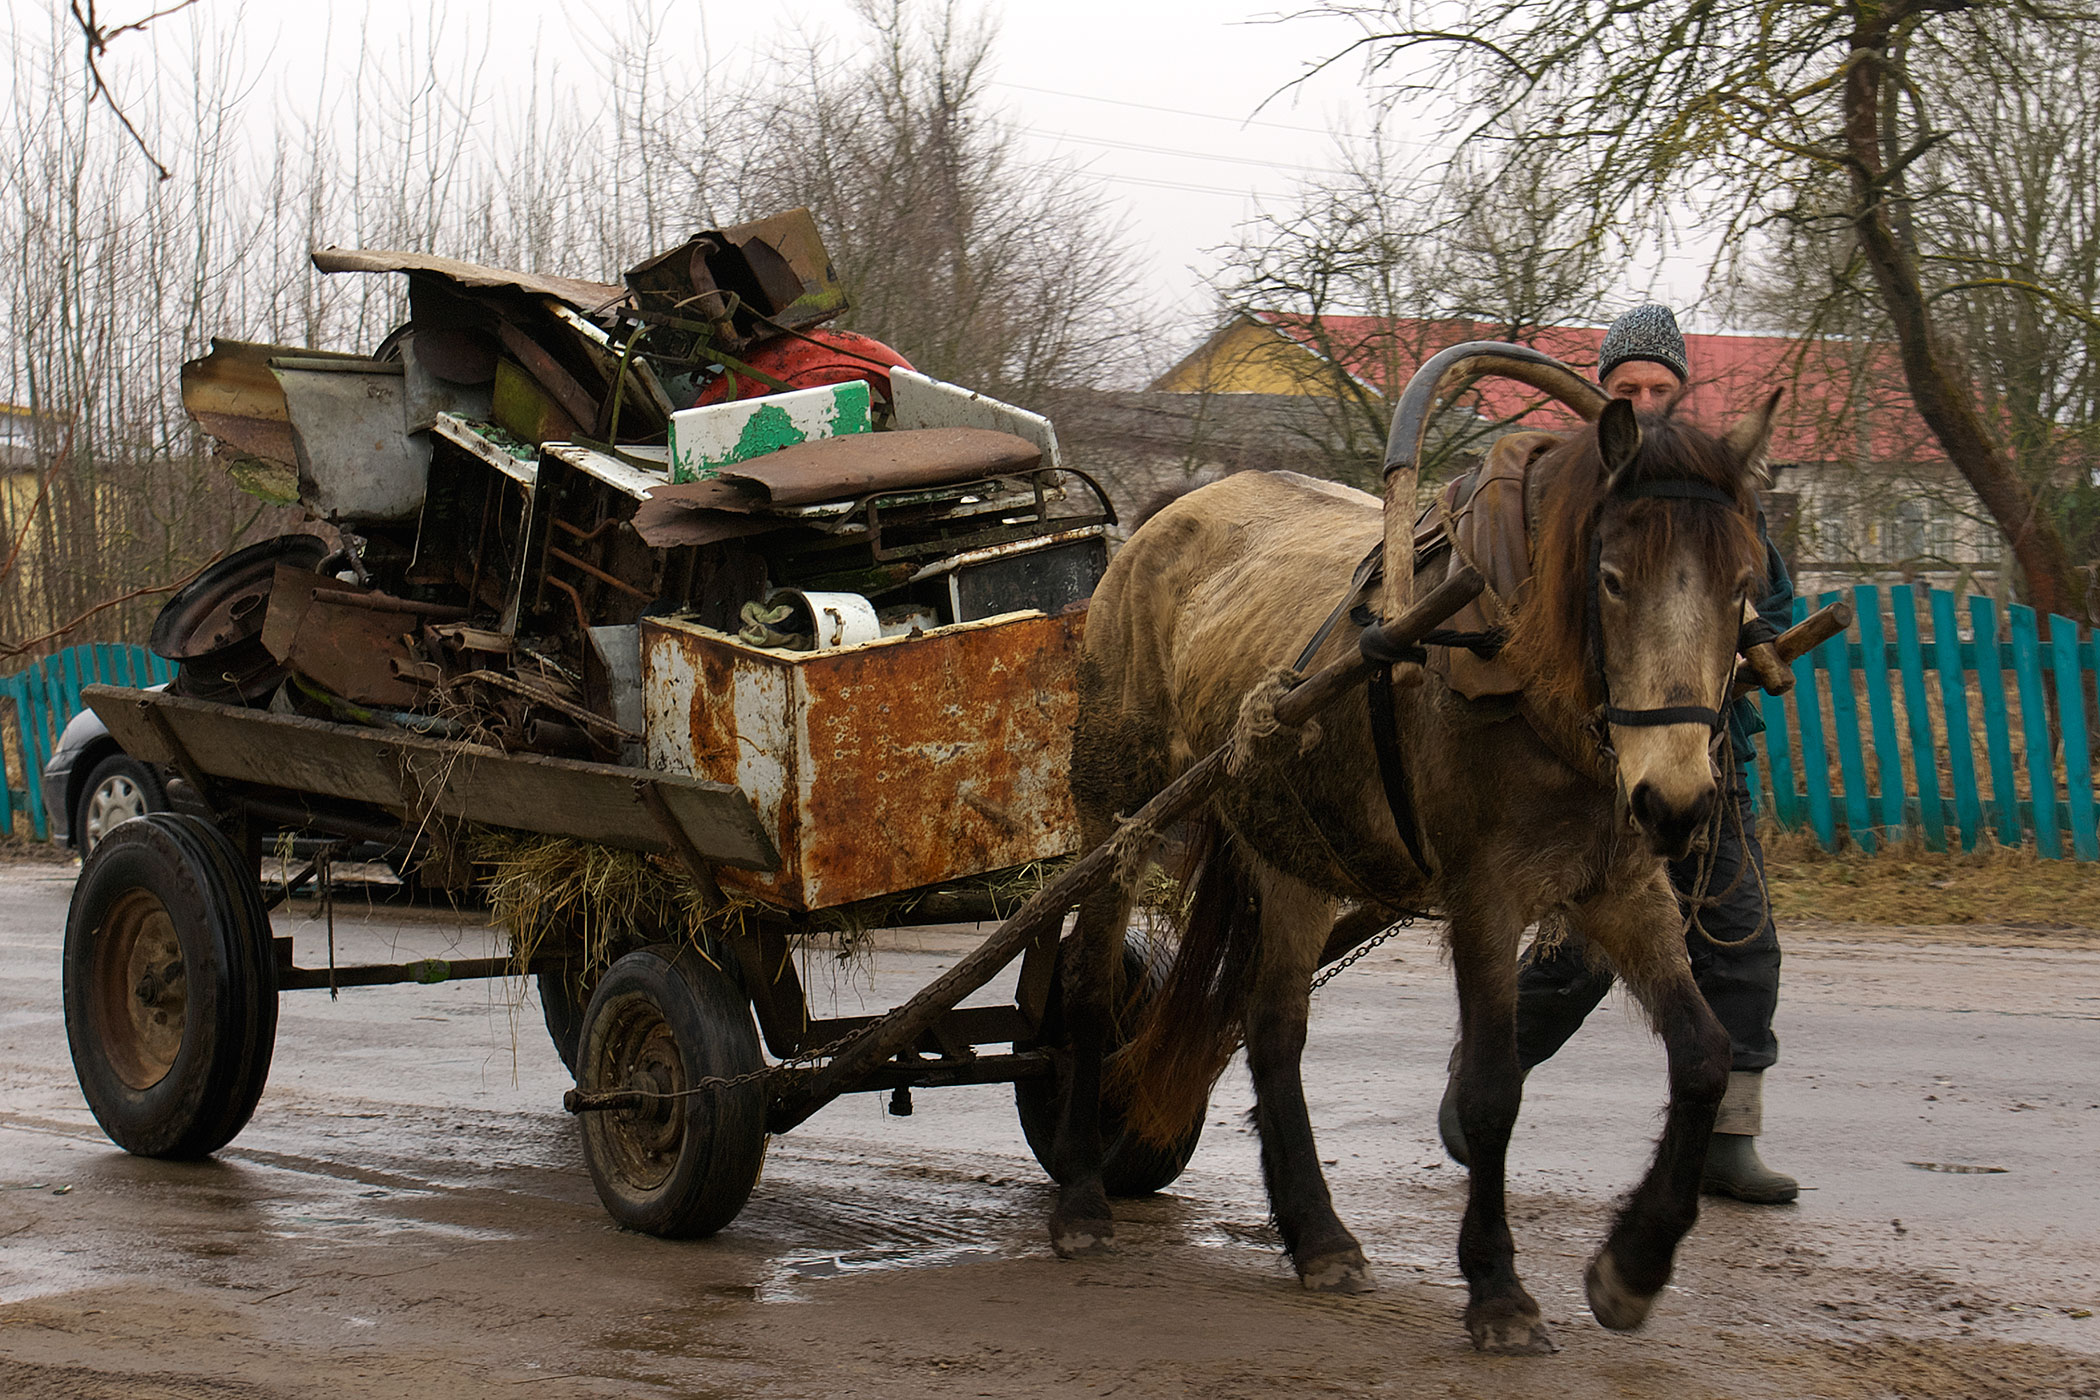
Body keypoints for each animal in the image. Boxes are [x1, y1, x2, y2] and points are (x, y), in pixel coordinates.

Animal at [1041, 388, 1780, 1351]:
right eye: (1614, 578)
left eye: (1741, 585)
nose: (1680, 800)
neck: (1513, 655)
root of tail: (1155, 525)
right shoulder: (1483, 897)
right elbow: (1492, 1089)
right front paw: (1498, 1290)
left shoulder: (1622, 890)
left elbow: (1703, 1055)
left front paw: (1634, 1265)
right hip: (1117, 815)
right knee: (1091, 987)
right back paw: (1083, 1198)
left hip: (1289, 855)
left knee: (1271, 1030)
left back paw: (1319, 1235)